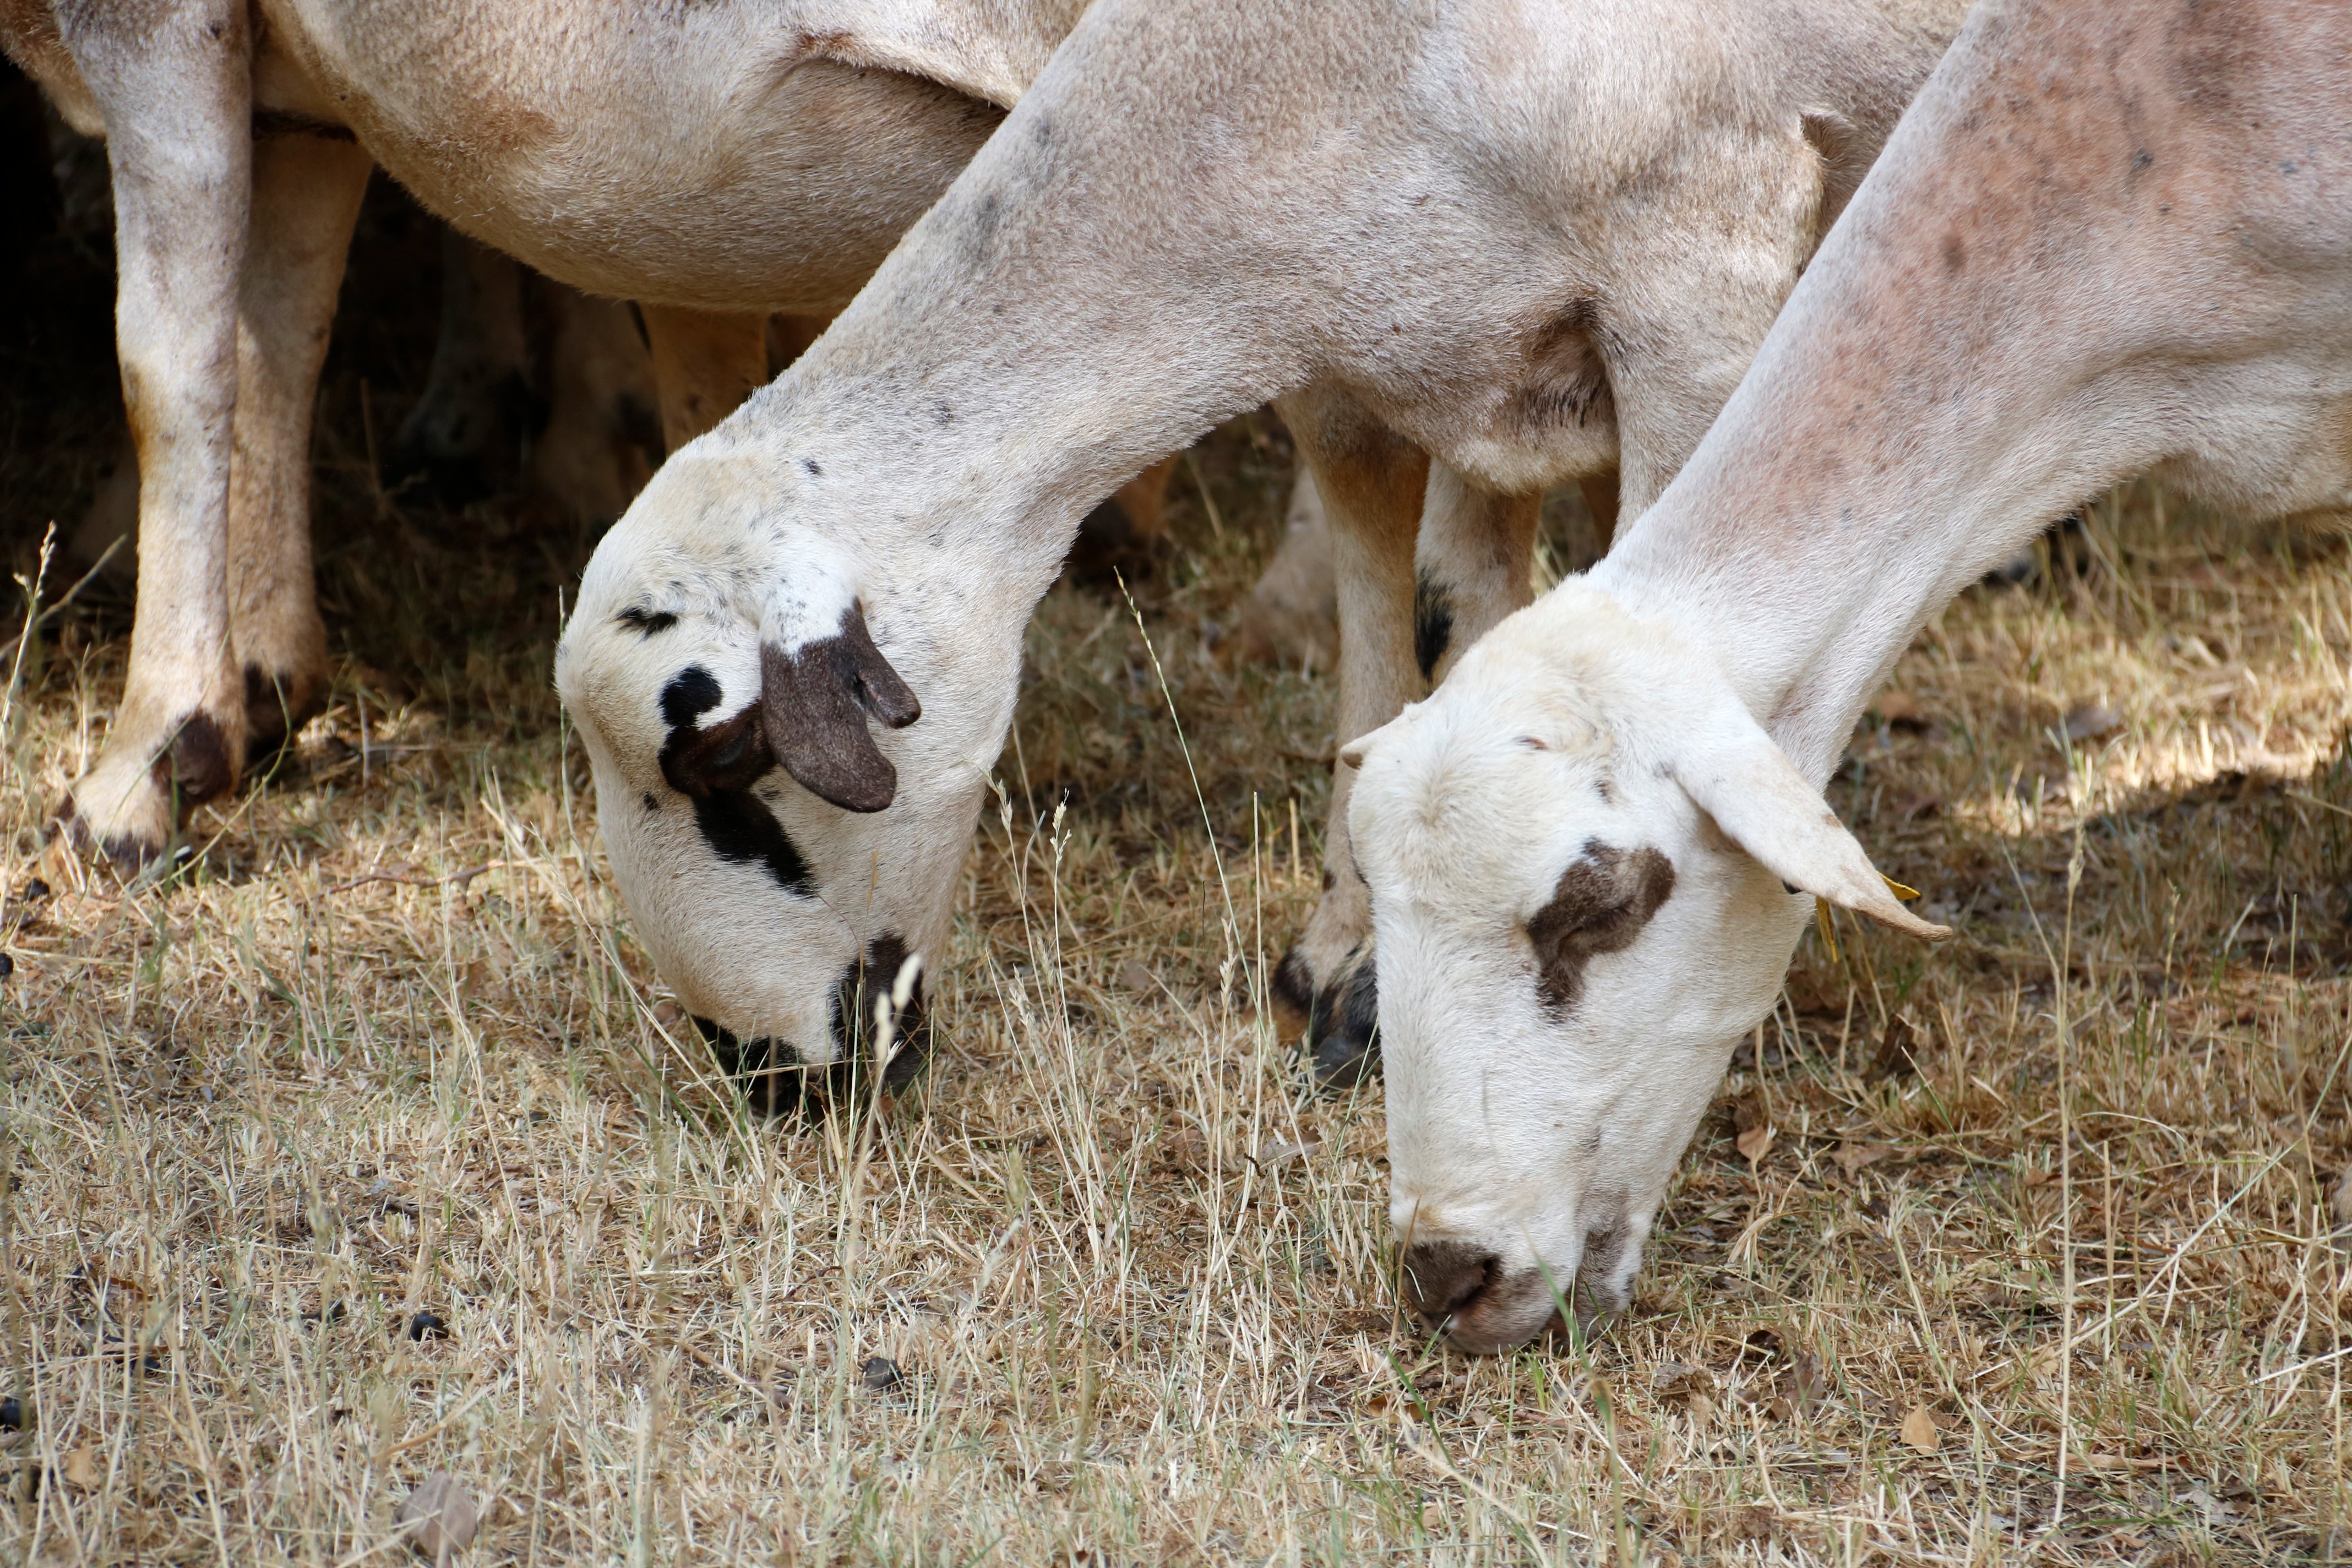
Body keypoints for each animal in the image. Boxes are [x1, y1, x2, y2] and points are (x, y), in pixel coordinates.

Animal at [559, 0, 1975, 1114]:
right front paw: (1353, 976)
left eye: (727, 762)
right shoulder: (1428, 353)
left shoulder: (1699, 282)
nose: (765, 1075)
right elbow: (1434, 626)